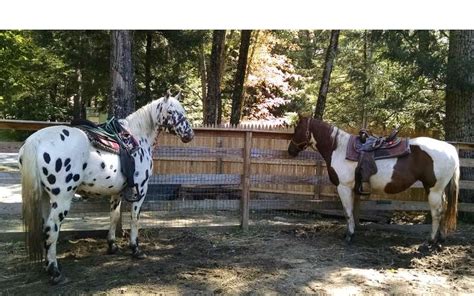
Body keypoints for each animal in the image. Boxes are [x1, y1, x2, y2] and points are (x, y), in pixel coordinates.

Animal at [18, 91, 193, 284]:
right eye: (170, 112)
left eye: (183, 110)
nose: (189, 134)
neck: (138, 136)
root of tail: (36, 140)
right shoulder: (140, 189)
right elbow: (134, 219)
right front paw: (135, 249)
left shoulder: (116, 192)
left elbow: (114, 217)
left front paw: (112, 246)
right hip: (62, 198)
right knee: (51, 228)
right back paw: (55, 272)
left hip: (44, 197)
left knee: (45, 228)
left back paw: (47, 265)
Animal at [286, 115, 462, 247]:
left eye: (297, 129)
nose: (290, 150)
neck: (339, 148)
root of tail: (450, 149)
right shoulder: (351, 188)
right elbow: (351, 211)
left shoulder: (343, 187)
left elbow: (347, 212)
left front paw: (349, 235)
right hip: (438, 190)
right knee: (444, 209)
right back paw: (440, 238)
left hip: (434, 189)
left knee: (437, 212)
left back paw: (430, 241)